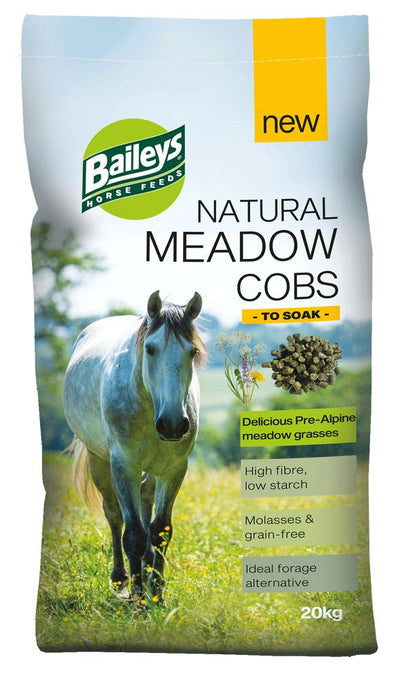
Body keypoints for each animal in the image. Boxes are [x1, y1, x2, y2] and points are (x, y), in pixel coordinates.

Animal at [62, 291, 205, 605]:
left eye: (192, 352)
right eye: (150, 349)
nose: (173, 425)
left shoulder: (174, 469)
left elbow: (160, 530)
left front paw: (157, 594)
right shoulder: (124, 465)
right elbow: (134, 535)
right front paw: (139, 599)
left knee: (145, 504)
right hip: (100, 462)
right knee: (115, 516)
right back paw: (120, 580)